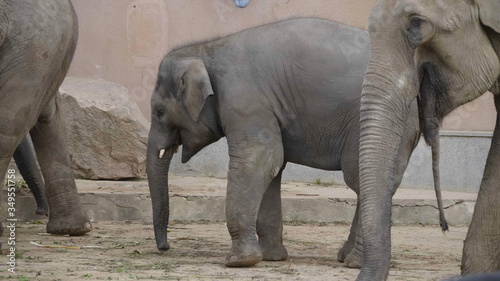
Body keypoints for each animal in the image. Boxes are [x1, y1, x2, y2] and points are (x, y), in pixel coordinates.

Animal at [146, 17, 426, 266]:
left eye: (159, 112)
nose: (165, 247)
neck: (205, 48)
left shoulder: (244, 99)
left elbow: (259, 159)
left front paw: (239, 261)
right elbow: (272, 168)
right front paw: (271, 258)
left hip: (377, 121)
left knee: (361, 178)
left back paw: (355, 262)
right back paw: (347, 258)